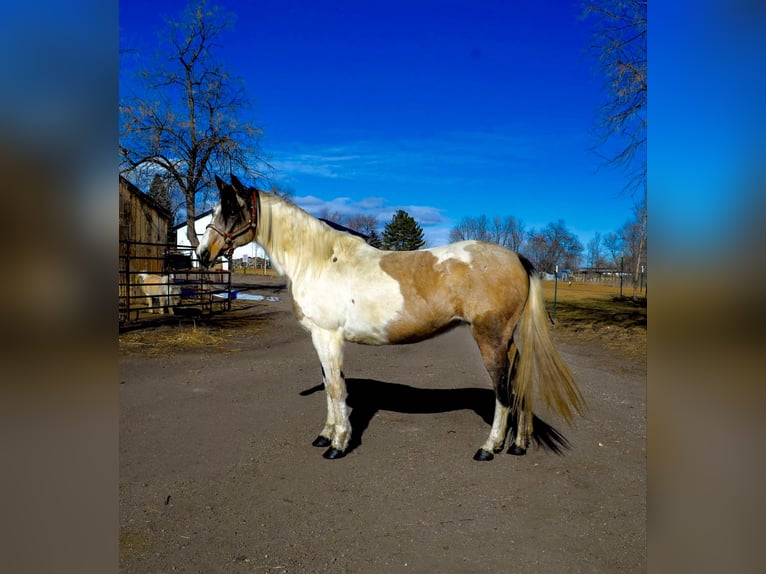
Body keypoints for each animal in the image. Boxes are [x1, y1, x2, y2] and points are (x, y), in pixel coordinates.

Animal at [197, 175, 585, 460]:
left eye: (231, 210)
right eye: (214, 210)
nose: (203, 253)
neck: (319, 261)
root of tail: (516, 257)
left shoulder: (328, 335)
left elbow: (336, 388)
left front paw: (338, 444)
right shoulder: (319, 338)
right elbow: (330, 385)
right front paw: (326, 435)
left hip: (490, 339)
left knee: (503, 389)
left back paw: (489, 448)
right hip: (508, 340)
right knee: (520, 380)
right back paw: (519, 444)